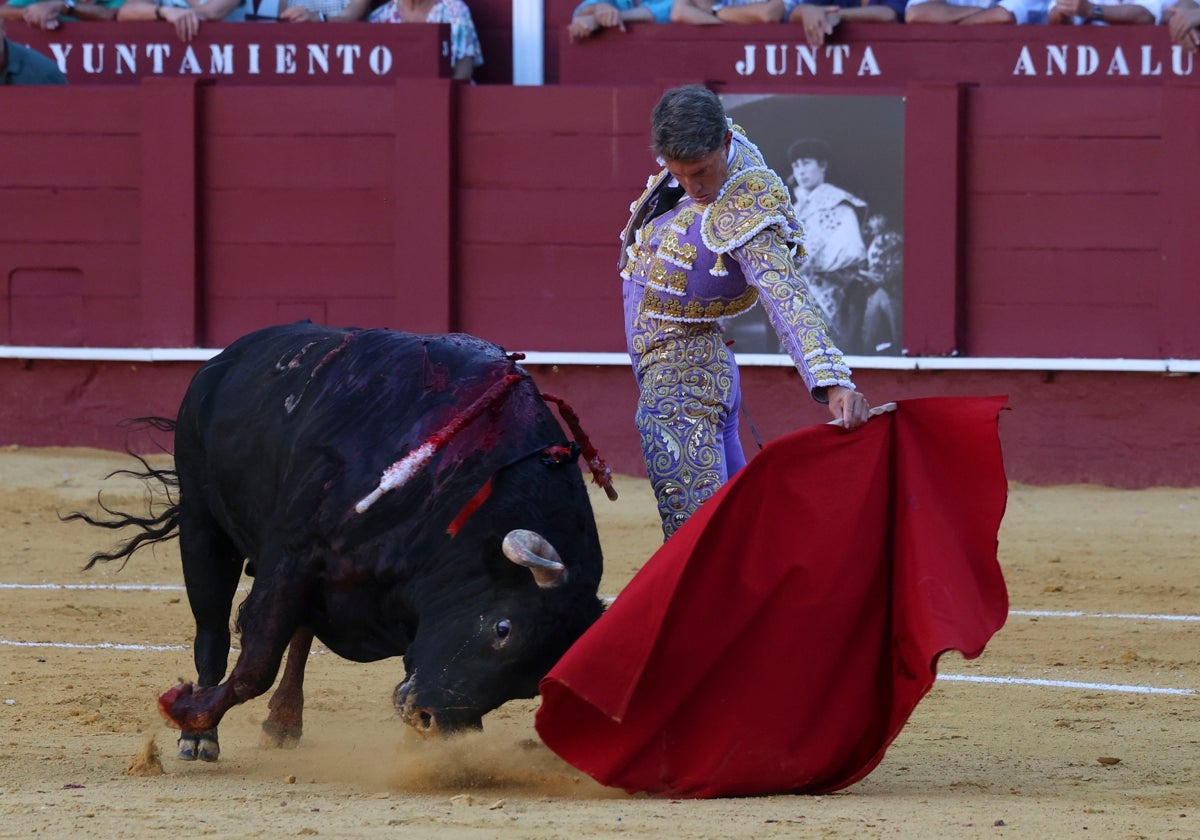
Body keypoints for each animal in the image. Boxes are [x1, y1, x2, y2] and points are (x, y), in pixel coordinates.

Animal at [68, 324, 609, 763]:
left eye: (529, 685)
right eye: (503, 628)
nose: (427, 717)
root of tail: (226, 359)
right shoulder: (292, 554)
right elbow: (255, 661)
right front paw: (182, 710)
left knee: (301, 632)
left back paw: (283, 721)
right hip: (203, 521)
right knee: (213, 629)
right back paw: (199, 738)